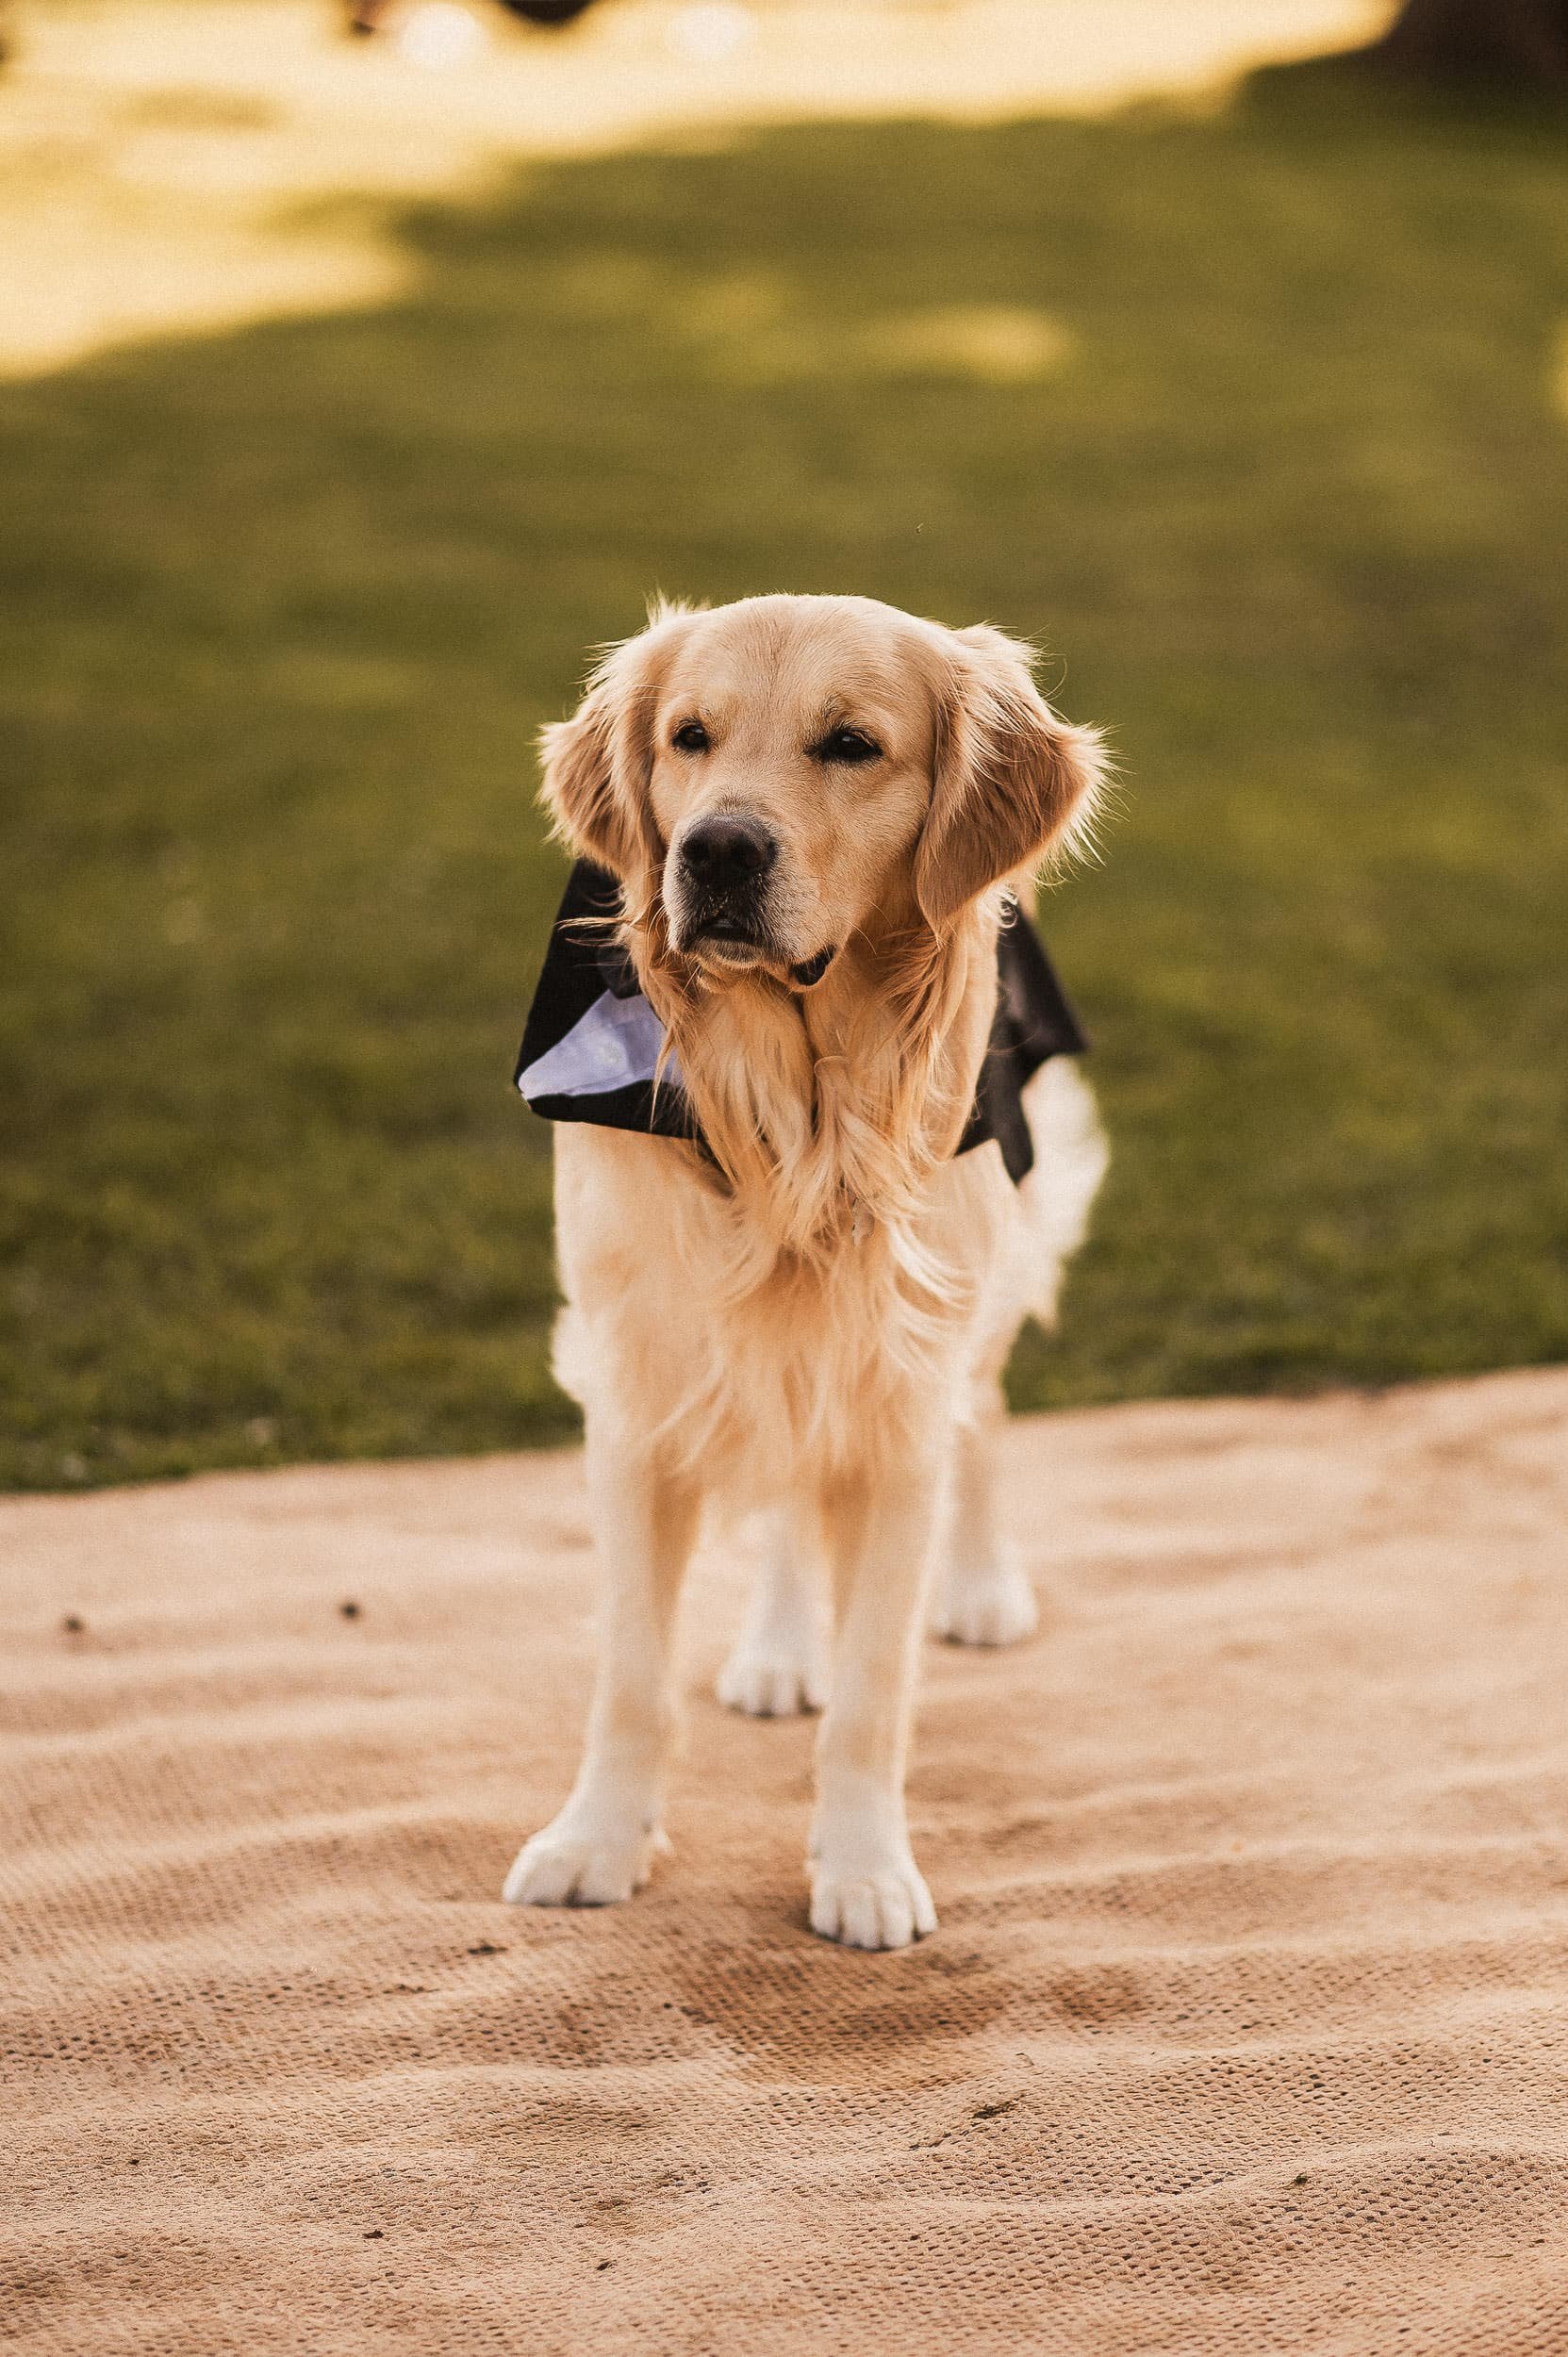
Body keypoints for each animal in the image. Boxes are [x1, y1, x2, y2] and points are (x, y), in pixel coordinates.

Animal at [497, 594, 1098, 1952]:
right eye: (688, 736)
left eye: (850, 744)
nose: (715, 853)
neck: (792, 1101)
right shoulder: (642, 1387)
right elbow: (630, 1676)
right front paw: (597, 1841)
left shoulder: (897, 1394)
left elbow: (876, 1689)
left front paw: (863, 1868)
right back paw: (778, 1649)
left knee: (983, 1412)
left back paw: (980, 1583)